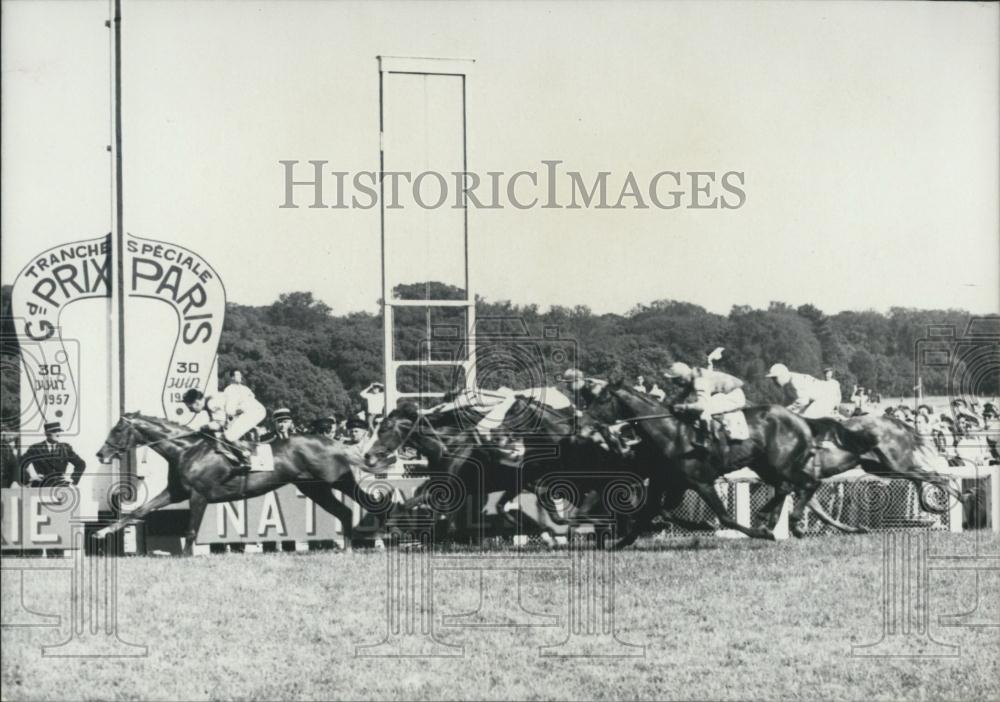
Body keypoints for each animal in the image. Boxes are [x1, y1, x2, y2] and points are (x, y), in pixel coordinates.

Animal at [94, 412, 390, 556]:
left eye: (117, 430)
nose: (101, 454)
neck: (187, 449)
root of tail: (334, 443)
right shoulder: (175, 492)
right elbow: (139, 510)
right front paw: (102, 532)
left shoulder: (199, 495)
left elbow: (191, 529)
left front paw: (186, 556)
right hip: (315, 488)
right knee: (345, 511)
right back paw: (347, 548)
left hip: (335, 481)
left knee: (369, 501)